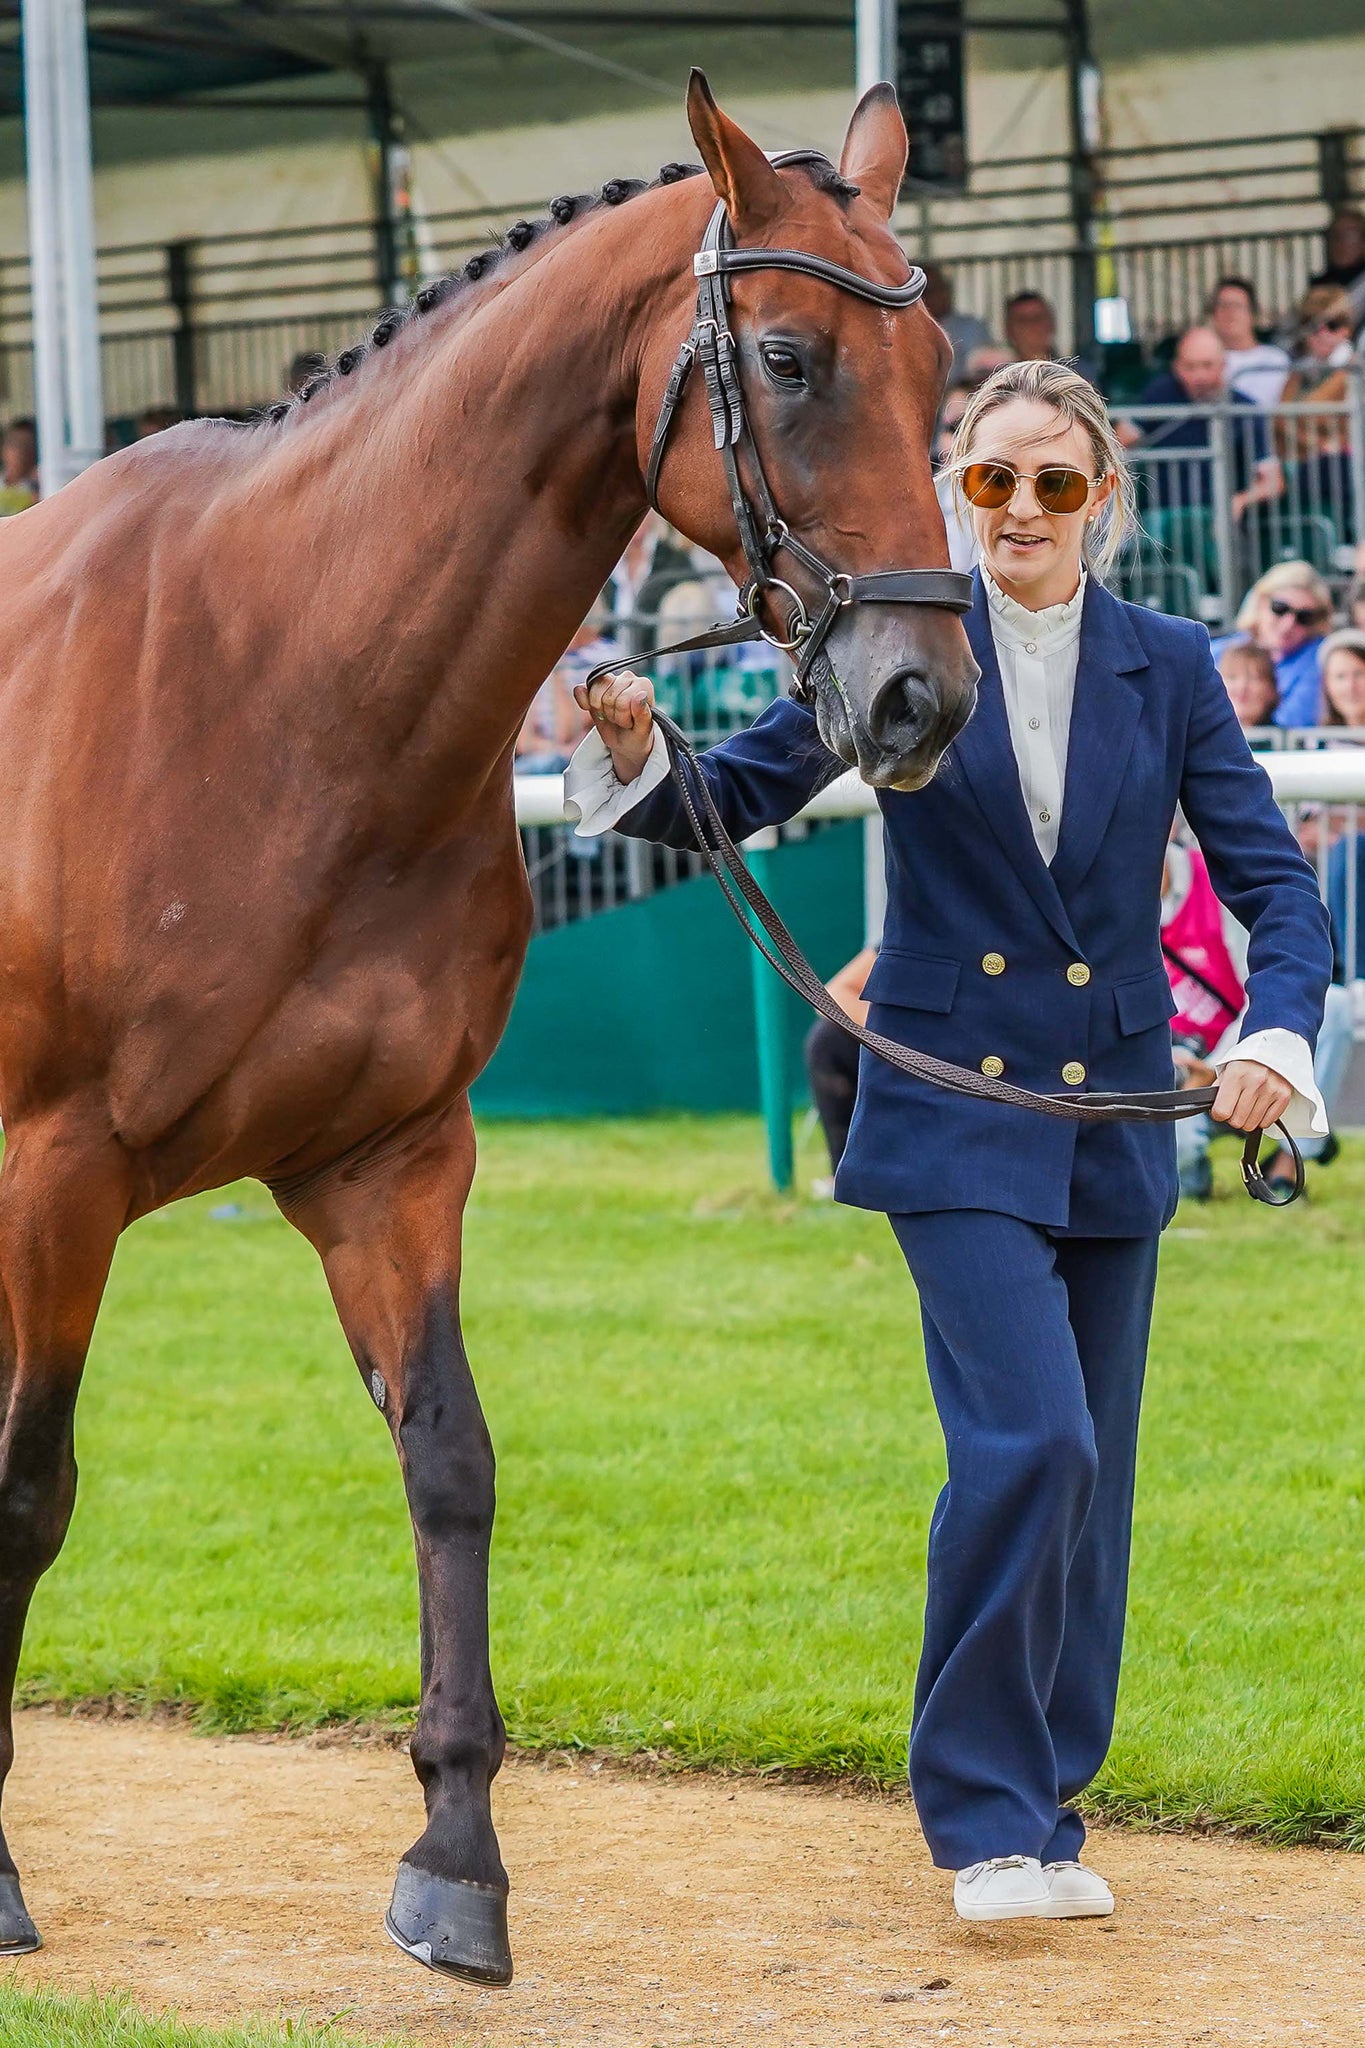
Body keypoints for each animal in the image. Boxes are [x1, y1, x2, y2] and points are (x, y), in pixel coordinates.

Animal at [0, 75, 978, 1982]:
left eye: (945, 367)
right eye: (788, 357)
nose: (922, 692)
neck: (275, 691)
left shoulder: (390, 1160)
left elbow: (449, 1466)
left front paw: (456, 1853)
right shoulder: (51, 1179)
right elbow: (25, 1496)